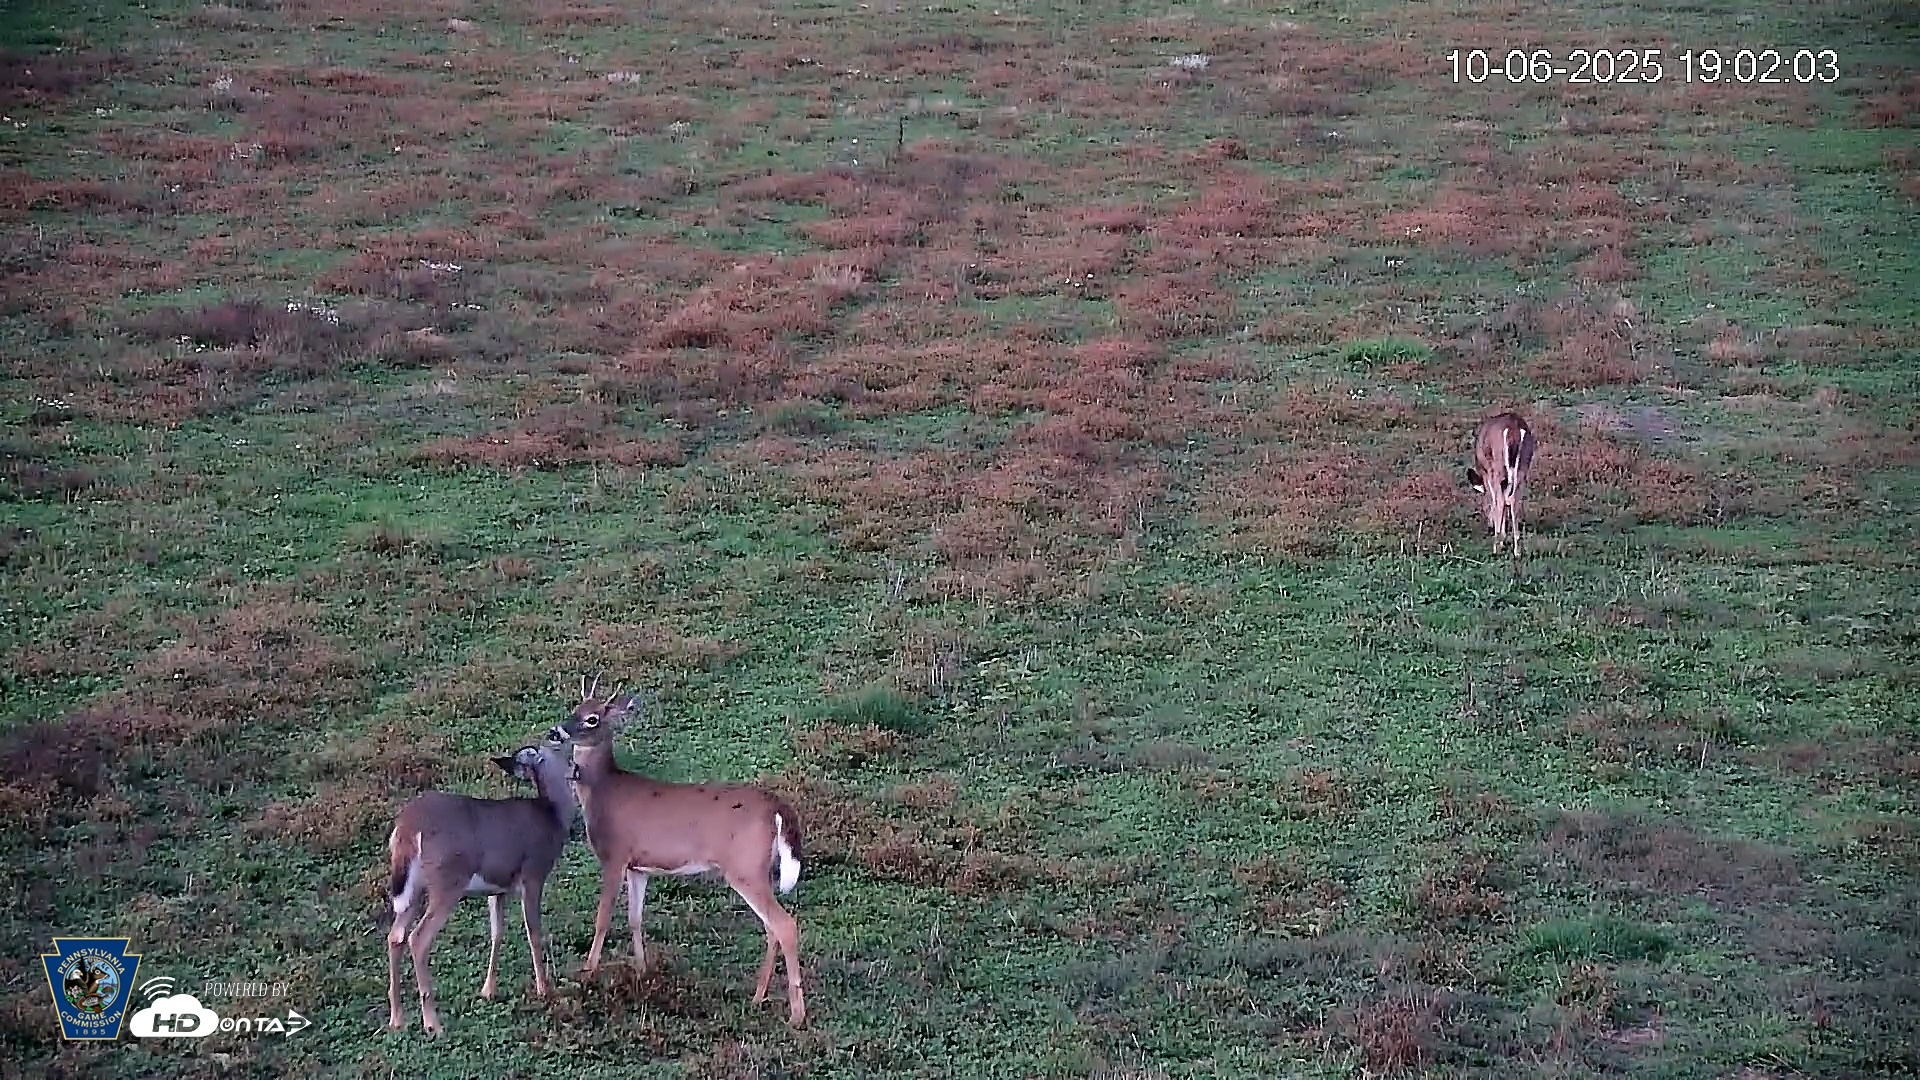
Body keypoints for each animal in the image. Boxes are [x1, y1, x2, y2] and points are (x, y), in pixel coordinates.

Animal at [384, 734, 578, 1035]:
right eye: (557, 743)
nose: (576, 766)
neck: (552, 815)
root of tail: (407, 827)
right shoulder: (533, 873)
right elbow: (533, 932)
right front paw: (545, 989)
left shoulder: (497, 888)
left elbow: (496, 933)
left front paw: (487, 990)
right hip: (447, 880)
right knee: (418, 938)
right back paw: (433, 1023)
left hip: (413, 888)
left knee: (396, 936)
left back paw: (396, 1018)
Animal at [547, 675, 808, 1026]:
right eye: (575, 707)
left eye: (592, 718)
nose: (555, 732)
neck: (604, 790)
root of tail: (777, 808)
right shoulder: (638, 867)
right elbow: (634, 918)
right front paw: (642, 972)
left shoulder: (614, 856)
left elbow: (602, 918)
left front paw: (587, 975)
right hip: (759, 870)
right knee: (771, 927)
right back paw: (757, 997)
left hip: (744, 868)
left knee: (785, 925)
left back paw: (796, 1015)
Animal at [1464, 411, 1539, 557]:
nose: (1489, 526)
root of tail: (1513, 430)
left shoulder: (1489, 473)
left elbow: (1496, 499)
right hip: (1523, 466)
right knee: (1514, 500)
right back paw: (1517, 551)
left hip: (1498, 467)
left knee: (1501, 499)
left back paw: (1497, 546)